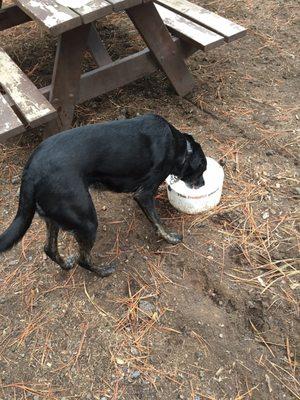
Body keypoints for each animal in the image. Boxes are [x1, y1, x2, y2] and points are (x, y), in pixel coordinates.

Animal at [0, 114, 206, 276]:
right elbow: (157, 221)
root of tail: (31, 172)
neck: (179, 146)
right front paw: (169, 238)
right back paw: (103, 271)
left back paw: (66, 264)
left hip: (54, 217)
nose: (203, 184)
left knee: (49, 249)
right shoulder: (145, 193)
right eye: (202, 169)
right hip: (86, 220)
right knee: (83, 259)